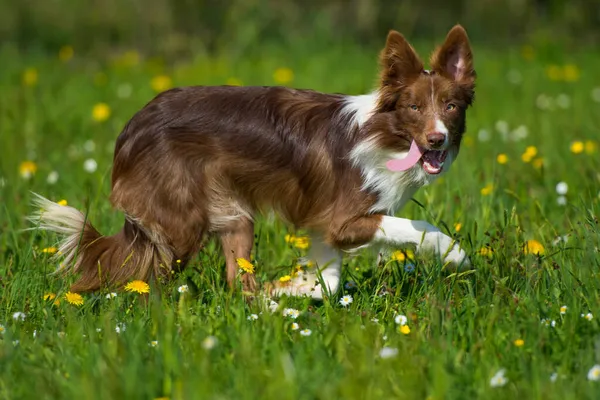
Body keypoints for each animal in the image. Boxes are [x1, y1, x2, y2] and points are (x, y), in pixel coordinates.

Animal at [31, 25, 474, 298]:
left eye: (450, 107)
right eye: (414, 107)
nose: (437, 139)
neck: (385, 135)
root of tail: (130, 128)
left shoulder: (322, 227)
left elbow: (329, 281)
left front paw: (294, 290)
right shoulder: (342, 219)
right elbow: (417, 227)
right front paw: (456, 254)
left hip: (232, 215)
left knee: (238, 283)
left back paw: (267, 304)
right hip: (180, 225)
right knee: (136, 275)